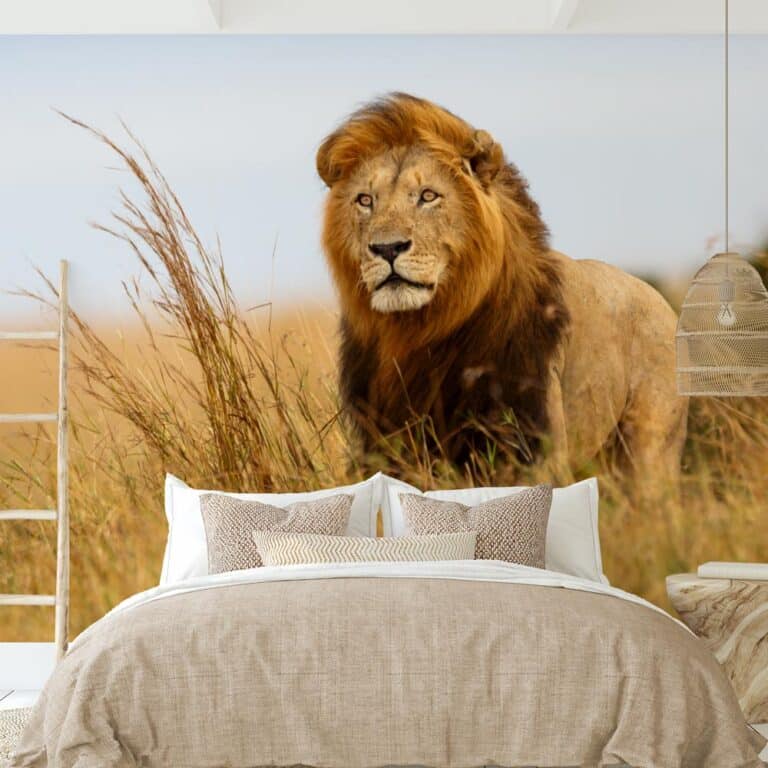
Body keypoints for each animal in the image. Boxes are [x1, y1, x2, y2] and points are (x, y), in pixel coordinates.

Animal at [316, 92, 688, 490]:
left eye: (428, 196)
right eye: (365, 200)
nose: (387, 248)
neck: (419, 331)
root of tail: (661, 301)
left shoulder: (531, 439)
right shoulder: (384, 437)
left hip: (649, 450)